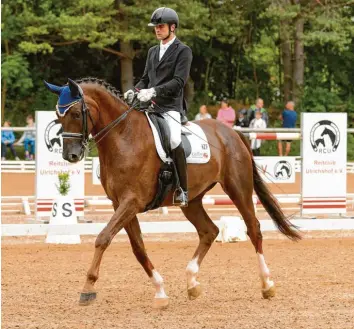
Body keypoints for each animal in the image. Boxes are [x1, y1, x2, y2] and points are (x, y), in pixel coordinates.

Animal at [43, 78, 298, 308]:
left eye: (77, 114)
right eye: (58, 116)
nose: (70, 155)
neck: (123, 136)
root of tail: (232, 132)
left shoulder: (131, 201)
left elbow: (103, 238)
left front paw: (88, 288)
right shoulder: (120, 204)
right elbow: (138, 248)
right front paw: (160, 291)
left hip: (238, 188)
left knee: (254, 228)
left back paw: (267, 284)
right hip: (192, 200)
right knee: (209, 231)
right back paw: (192, 283)